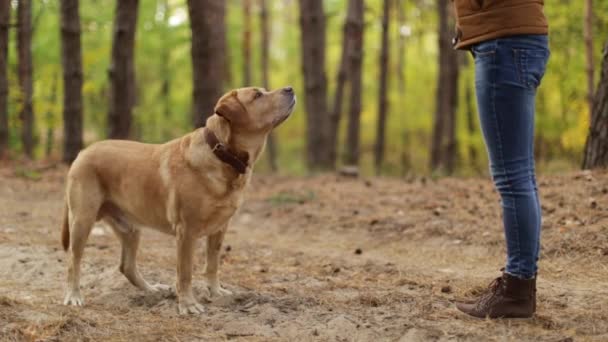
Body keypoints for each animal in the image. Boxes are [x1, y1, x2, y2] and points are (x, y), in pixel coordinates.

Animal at [61, 87, 296, 314]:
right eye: (257, 95)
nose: (290, 88)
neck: (222, 154)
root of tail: (83, 151)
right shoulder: (186, 231)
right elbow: (185, 272)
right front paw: (188, 304)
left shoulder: (220, 228)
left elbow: (212, 264)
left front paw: (215, 292)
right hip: (82, 220)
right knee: (73, 261)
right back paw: (73, 295)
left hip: (130, 228)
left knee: (126, 266)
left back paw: (152, 289)